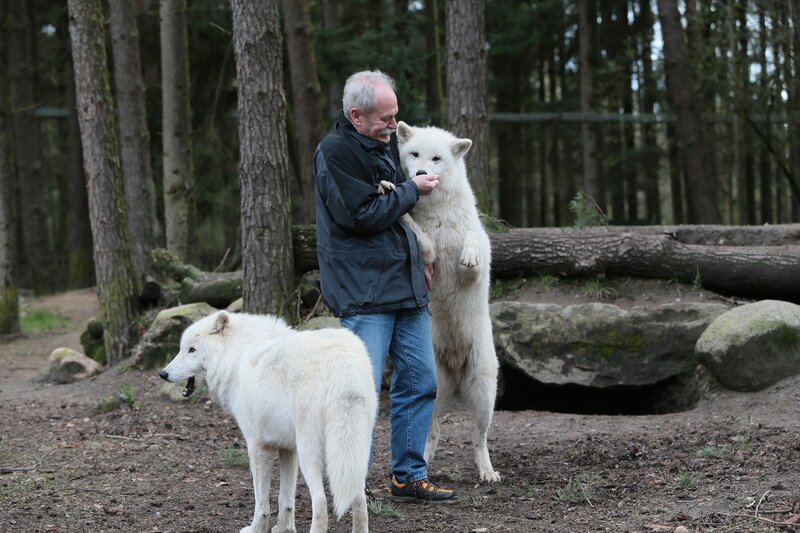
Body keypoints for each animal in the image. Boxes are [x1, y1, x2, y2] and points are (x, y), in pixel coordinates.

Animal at [159, 311, 377, 533]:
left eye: (191, 350)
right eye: (183, 349)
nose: (163, 373)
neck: (235, 355)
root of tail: (341, 362)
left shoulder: (257, 446)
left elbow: (261, 502)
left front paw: (256, 528)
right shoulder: (288, 449)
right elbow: (285, 499)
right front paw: (284, 529)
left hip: (311, 455)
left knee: (321, 503)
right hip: (352, 456)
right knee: (359, 501)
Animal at [392, 121, 501, 483]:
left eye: (437, 158)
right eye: (414, 154)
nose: (421, 174)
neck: (437, 213)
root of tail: (453, 363)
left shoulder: (473, 271)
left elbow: (472, 240)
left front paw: (468, 254)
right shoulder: (427, 254)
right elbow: (417, 233)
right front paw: (392, 197)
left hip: (483, 394)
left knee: (479, 438)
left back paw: (487, 471)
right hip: (433, 392)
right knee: (433, 434)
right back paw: (422, 467)